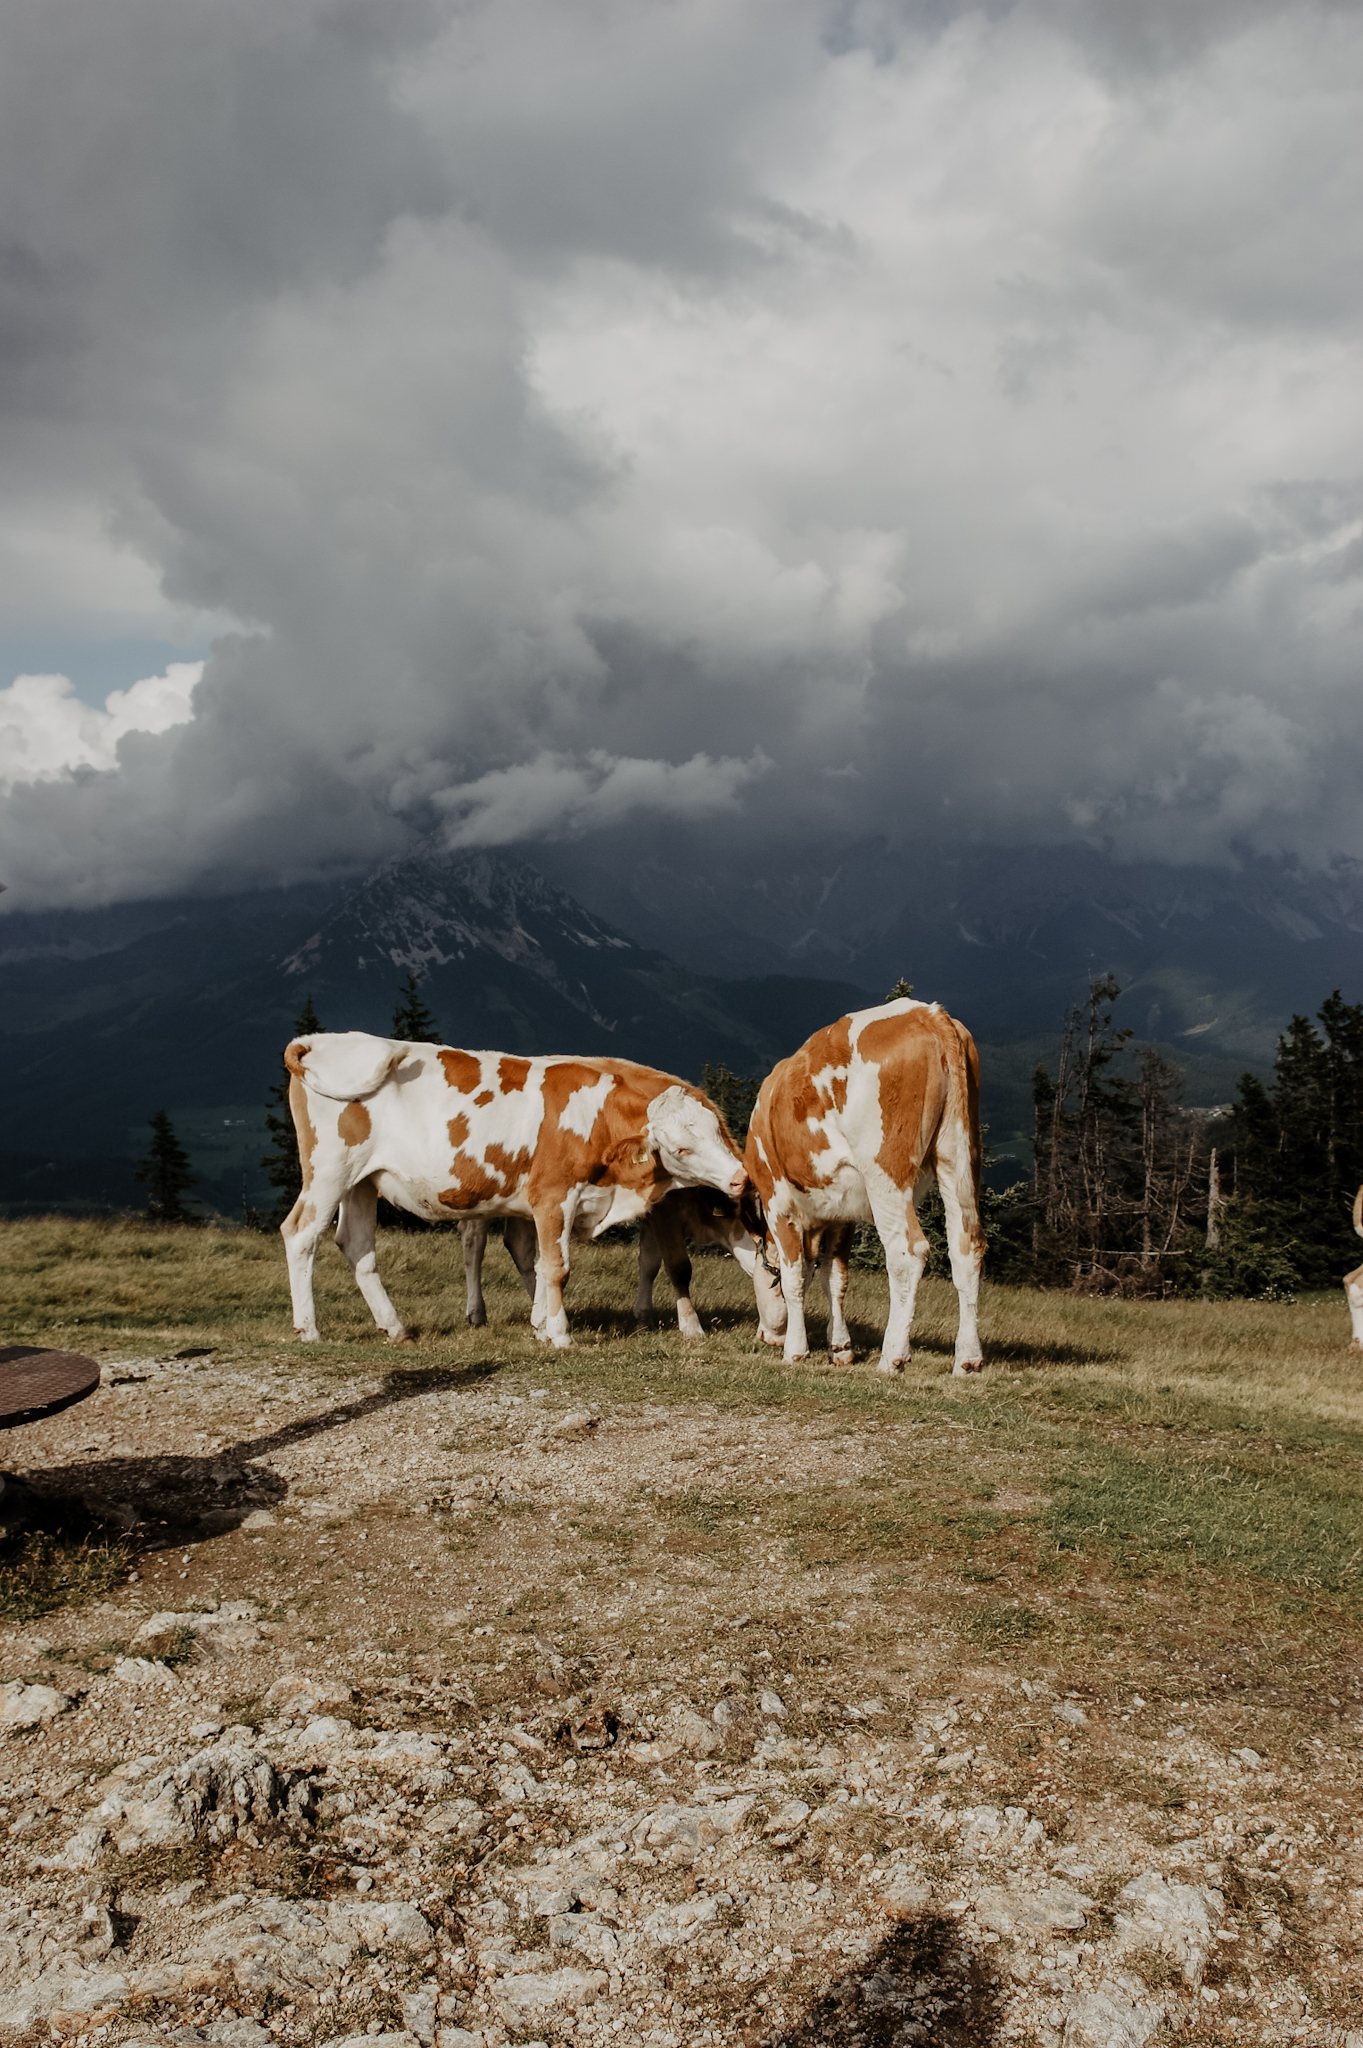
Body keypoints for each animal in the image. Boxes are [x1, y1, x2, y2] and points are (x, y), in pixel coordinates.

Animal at [458, 1187, 769, 1343]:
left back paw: (542, 1311)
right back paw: (477, 1313)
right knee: (474, 1242)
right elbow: (679, 1267)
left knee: (522, 1248)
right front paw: (691, 1326)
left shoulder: (652, 1213)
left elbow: (650, 1262)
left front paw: (644, 1316)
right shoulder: (666, 1210)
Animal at [744, 995, 986, 1376]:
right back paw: (968, 1359)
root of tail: (929, 1014)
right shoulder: (843, 1216)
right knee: (966, 1246)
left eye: (762, 1275)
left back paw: (893, 1357)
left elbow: (795, 1277)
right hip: (959, 1155)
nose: (765, 1336)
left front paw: (796, 1350)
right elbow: (834, 1277)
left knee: (907, 1251)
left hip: (884, 1170)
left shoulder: (777, 1202)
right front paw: (840, 1347)